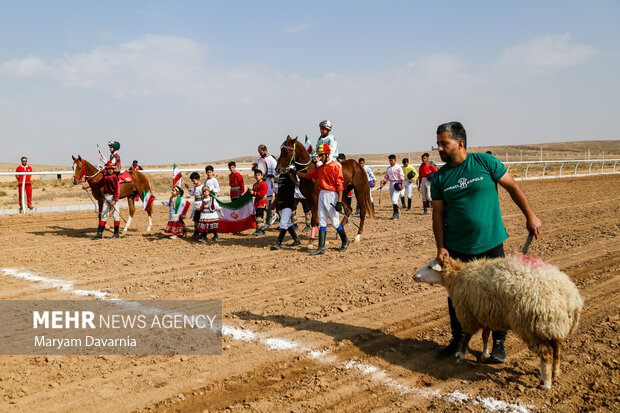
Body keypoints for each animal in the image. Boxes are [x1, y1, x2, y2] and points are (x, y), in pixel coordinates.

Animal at [414, 253, 584, 388]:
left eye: (430, 266)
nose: (414, 276)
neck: (457, 276)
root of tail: (570, 297)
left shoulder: (469, 314)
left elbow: (467, 337)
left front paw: (460, 356)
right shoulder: (486, 313)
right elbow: (485, 336)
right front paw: (484, 354)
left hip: (533, 327)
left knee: (547, 354)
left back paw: (545, 383)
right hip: (554, 326)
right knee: (557, 349)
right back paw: (555, 372)